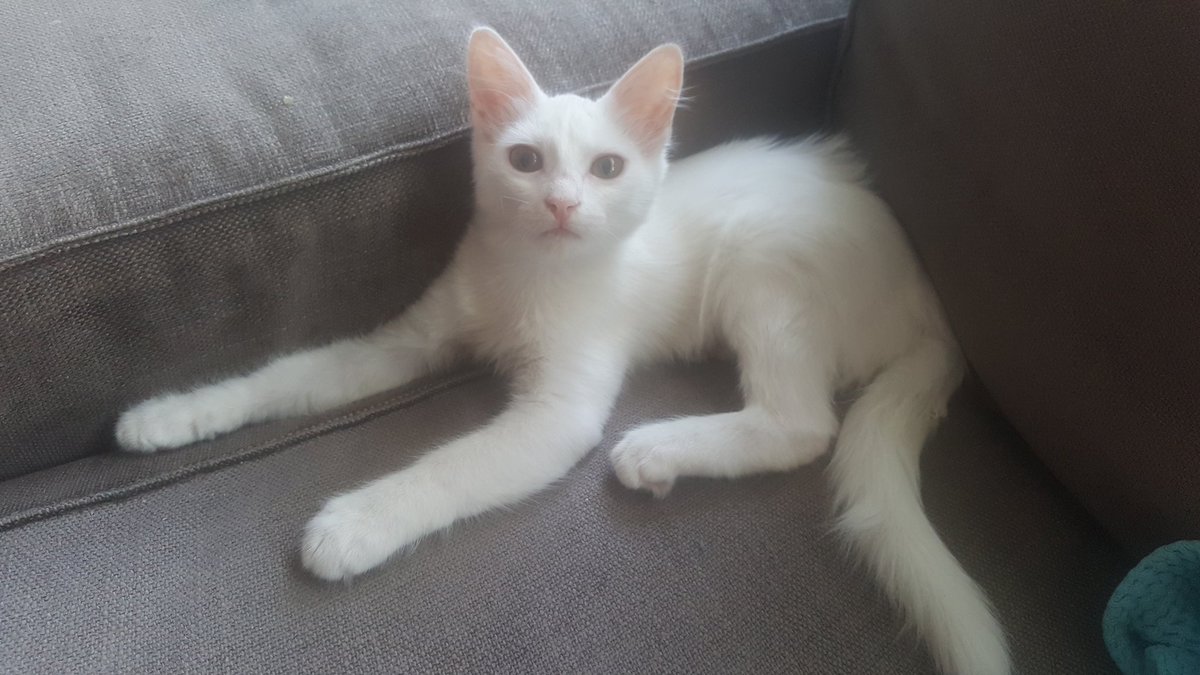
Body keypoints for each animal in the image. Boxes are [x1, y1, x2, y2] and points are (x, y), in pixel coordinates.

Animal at [116, 28, 1010, 675]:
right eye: (525, 159)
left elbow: (450, 466)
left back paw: (659, 450)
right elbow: (290, 375)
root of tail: (930, 297)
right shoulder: (406, 341)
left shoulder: (559, 410)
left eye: (607, 167)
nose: (561, 202)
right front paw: (173, 413)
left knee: (803, 425)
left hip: (765, 256)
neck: (526, 277)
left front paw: (357, 524)